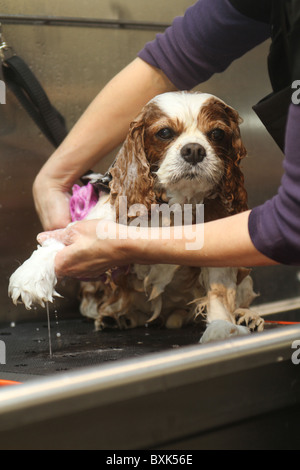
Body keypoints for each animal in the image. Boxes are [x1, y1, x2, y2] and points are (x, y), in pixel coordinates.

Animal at [8, 91, 264, 342]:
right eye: (164, 132)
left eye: (217, 133)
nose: (194, 150)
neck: (176, 204)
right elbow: (61, 239)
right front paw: (31, 276)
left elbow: (219, 289)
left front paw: (222, 326)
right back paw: (116, 318)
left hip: (244, 279)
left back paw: (245, 316)